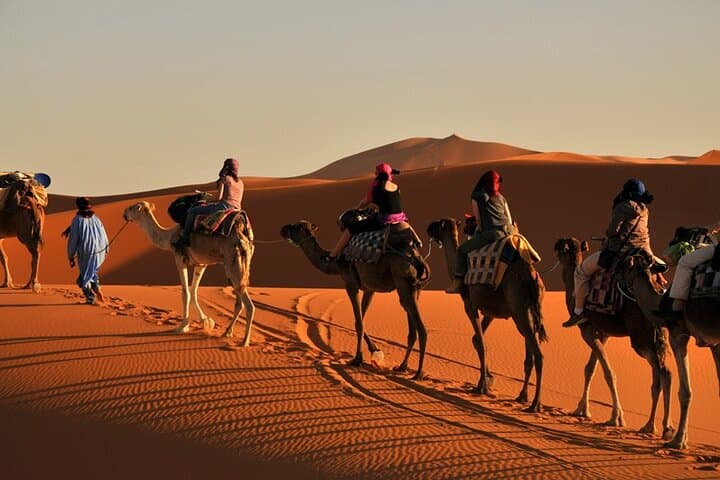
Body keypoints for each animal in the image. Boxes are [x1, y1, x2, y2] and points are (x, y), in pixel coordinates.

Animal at [123, 201, 255, 345]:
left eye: (132, 208)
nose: (124, 214)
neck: (169, 237)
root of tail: (242, 235)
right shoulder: (201, 264)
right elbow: (193, 291)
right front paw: (206, 321)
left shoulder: (180, 260)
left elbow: (185, 293)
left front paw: (182, 326)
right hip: (240, 266)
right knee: (239, 302)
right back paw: (227, 332)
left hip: (233, 264)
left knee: (249, 305)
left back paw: (245, 341)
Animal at [280, 221, 429, 379]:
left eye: (295, 227)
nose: (282, 229)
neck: (335, 262)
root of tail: (415, 256)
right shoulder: (369, 288)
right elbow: (362, 319)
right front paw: (374, 349)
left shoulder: (350, 283)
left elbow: (358, 323)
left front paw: (357, 359)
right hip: (414, 288)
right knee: (411, 325)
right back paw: (402, 367)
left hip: (403, 281)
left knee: (420, 327)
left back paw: (418, 373)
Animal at [427, 218, 547, 412]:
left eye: (439, 224)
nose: (428, 228)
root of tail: (532, 277)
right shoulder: (491, 312)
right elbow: (477, 339)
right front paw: (488, 380)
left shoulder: (469, 304)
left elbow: (482, 343)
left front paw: (482, 386)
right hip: (528, 311)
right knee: (530, 351)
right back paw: (522, 396)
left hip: (519, 309)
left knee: (538, 354)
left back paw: (535, 404)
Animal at [554, 238, 674, 439]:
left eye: (560, 247)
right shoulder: (602, 334)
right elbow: (590, 369)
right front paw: (581, 410)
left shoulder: (587, 331)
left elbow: (608, 372)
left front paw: (616, 417)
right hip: (659, 338)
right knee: (663, 375)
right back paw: (657, 427)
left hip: (641, 339)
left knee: (661, 374)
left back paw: (658, 427)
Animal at [622, 251, 720, 449]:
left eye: (627, 265)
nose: (620, 279)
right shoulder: (714, 343)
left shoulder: (678, 333)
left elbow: (685, 391)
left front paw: (678, 440)